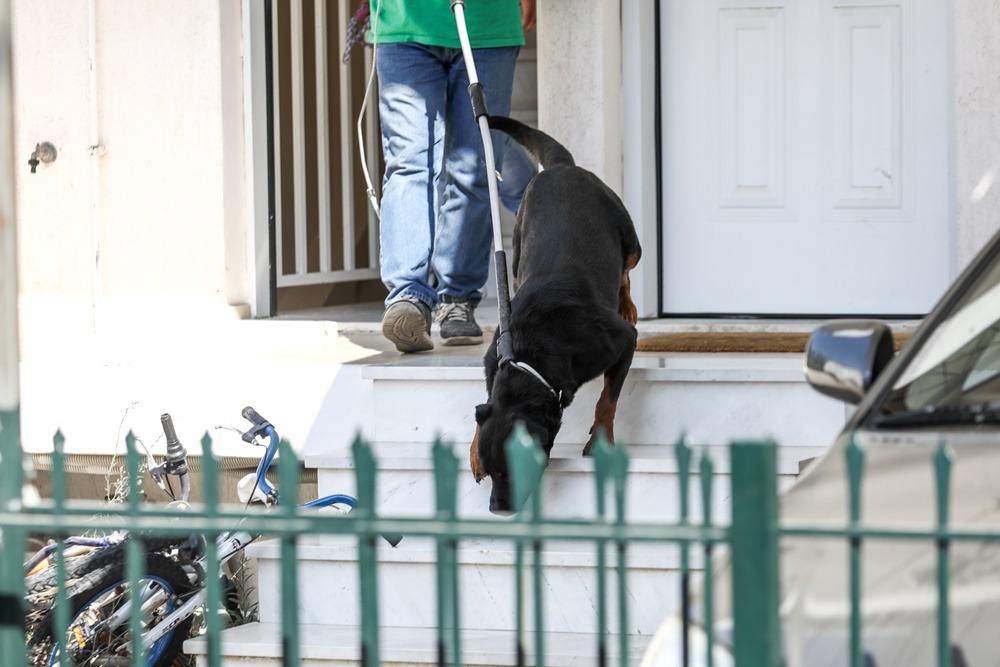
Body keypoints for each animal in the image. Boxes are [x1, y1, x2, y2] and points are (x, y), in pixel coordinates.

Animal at [470, 115, 640, 516]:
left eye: (513, 471)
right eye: (493, 470)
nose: (496, 509)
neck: (530, 358)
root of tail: (561, 166)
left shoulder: (620, 341)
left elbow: (607, 399)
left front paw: (601, 441)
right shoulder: (492, 360)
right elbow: (486, 405)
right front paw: (473, 450)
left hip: (628, 233)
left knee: (626, 268)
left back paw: (627, 304)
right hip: (516, 251)